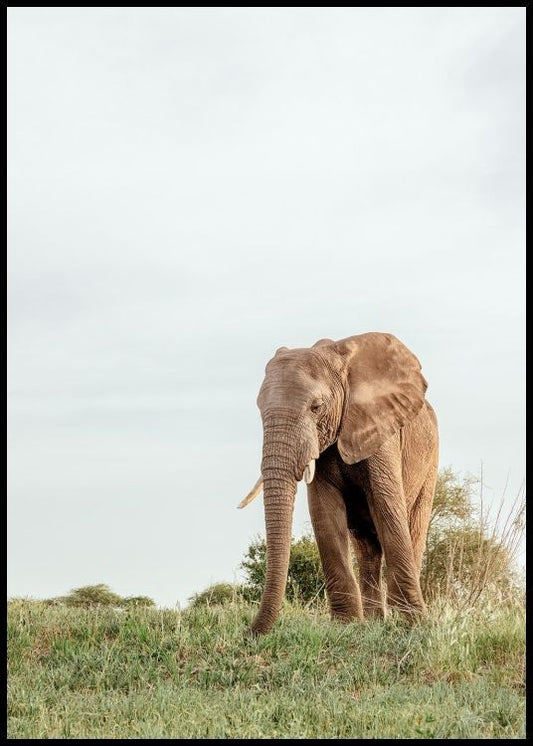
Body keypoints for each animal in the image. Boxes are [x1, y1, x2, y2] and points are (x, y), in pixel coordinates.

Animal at [238, 332, 439, 636]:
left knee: (414, 529)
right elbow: (324, 512)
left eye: (316, 407)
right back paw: (374, 622)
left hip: (430, 462)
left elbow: (387, 506)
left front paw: (414, 626)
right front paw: (346, 625)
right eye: (260, 408)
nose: (250, 633)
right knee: (366, 548)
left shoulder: (381, 429)